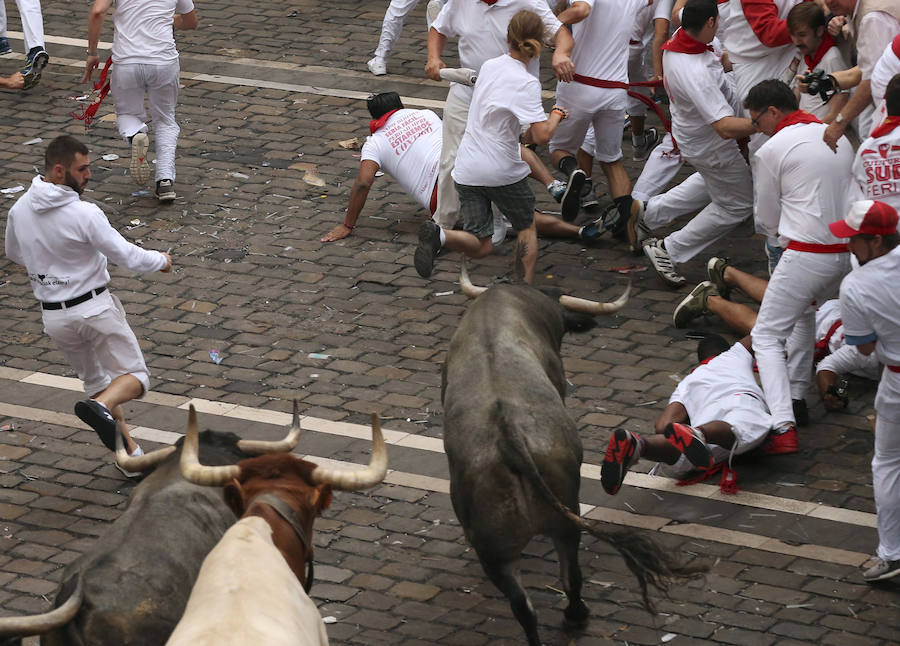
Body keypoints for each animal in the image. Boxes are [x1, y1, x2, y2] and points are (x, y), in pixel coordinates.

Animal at [442, 286, 704, 644]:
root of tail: (510, 440)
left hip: (510, 546)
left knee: (532, 600)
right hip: (546, 531)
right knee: (564, 581)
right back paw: (576, 617)